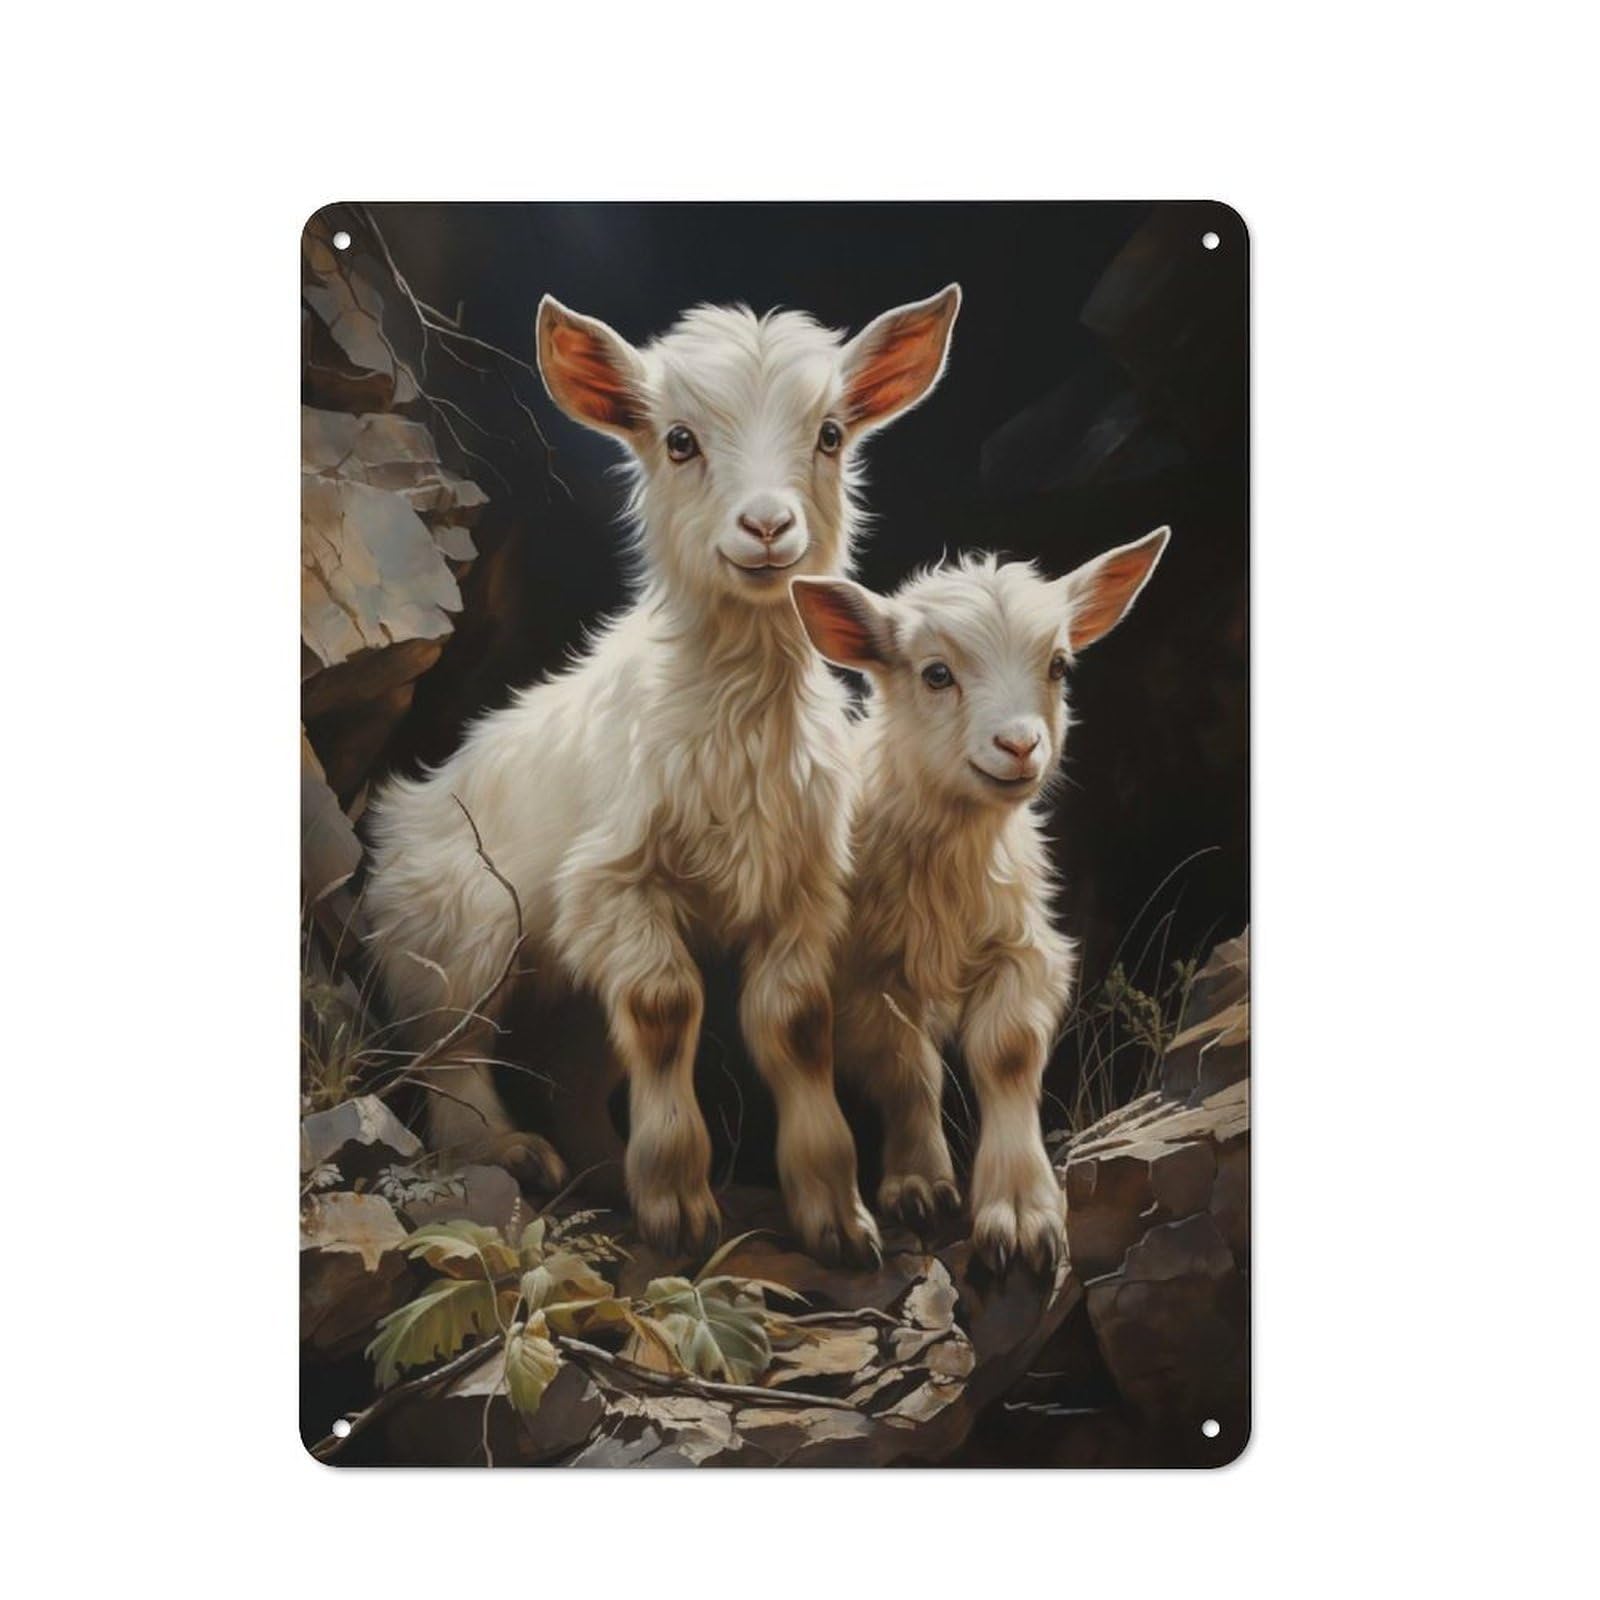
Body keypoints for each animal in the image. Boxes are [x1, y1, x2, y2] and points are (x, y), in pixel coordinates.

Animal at [364, 287, 962, 1264]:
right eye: (679, 440)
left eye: (831, 433)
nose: (767, 527)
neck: (735, 717)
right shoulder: (616, 883)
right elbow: (665, 1008)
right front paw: (681, 1205)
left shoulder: (802, 889)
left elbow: (795, 1024)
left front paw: (836, 1215)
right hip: (461, 926)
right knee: (449, 1049)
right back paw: (511, 1153)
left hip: (558, 981)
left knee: (569, 1066)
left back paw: (605, 1170)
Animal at [791, 527, 1170, 1273]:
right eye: (936, 674)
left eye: (1058, 665)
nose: (1019, 744)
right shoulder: (866, 971)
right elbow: (904, 1066)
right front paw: (917, 1183)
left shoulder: (1025, 947)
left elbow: (1008, 1052)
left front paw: (1020, 1215)